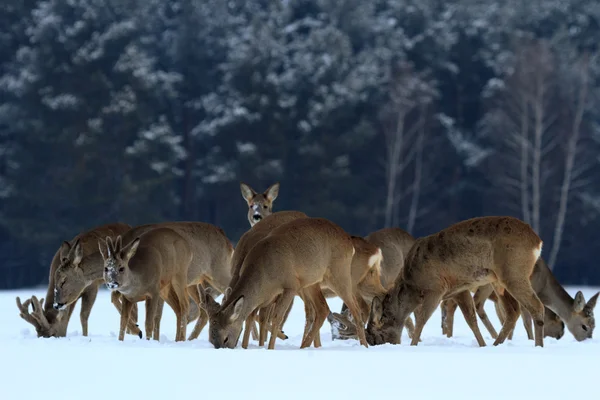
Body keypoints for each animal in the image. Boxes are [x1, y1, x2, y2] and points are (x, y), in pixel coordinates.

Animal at [202, 217, 370, 348]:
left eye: (225, 338)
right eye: (211, 339)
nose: (222, 348)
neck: (264, 275)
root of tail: (349, 241)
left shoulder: (290, 285)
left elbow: (276, 318)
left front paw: (270, 348)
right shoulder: (268, 296)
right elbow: (253, 316)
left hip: (339, 274)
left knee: (356, 310)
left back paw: (364, 346)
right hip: (311, 282)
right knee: (322, 309)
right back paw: (304, 346)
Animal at [366, 216, 548, 346]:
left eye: (374, 335)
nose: (373, 345)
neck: (412, 285)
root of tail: (537, 241)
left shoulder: (436, 287)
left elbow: (422, 319)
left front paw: (413, 345)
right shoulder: (460, 288)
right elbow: (470, 319)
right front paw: (482, 345)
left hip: (514, 272)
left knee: (536, 306)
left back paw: (538, 346)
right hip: (500, 281)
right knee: (513, 311)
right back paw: (496, 344)